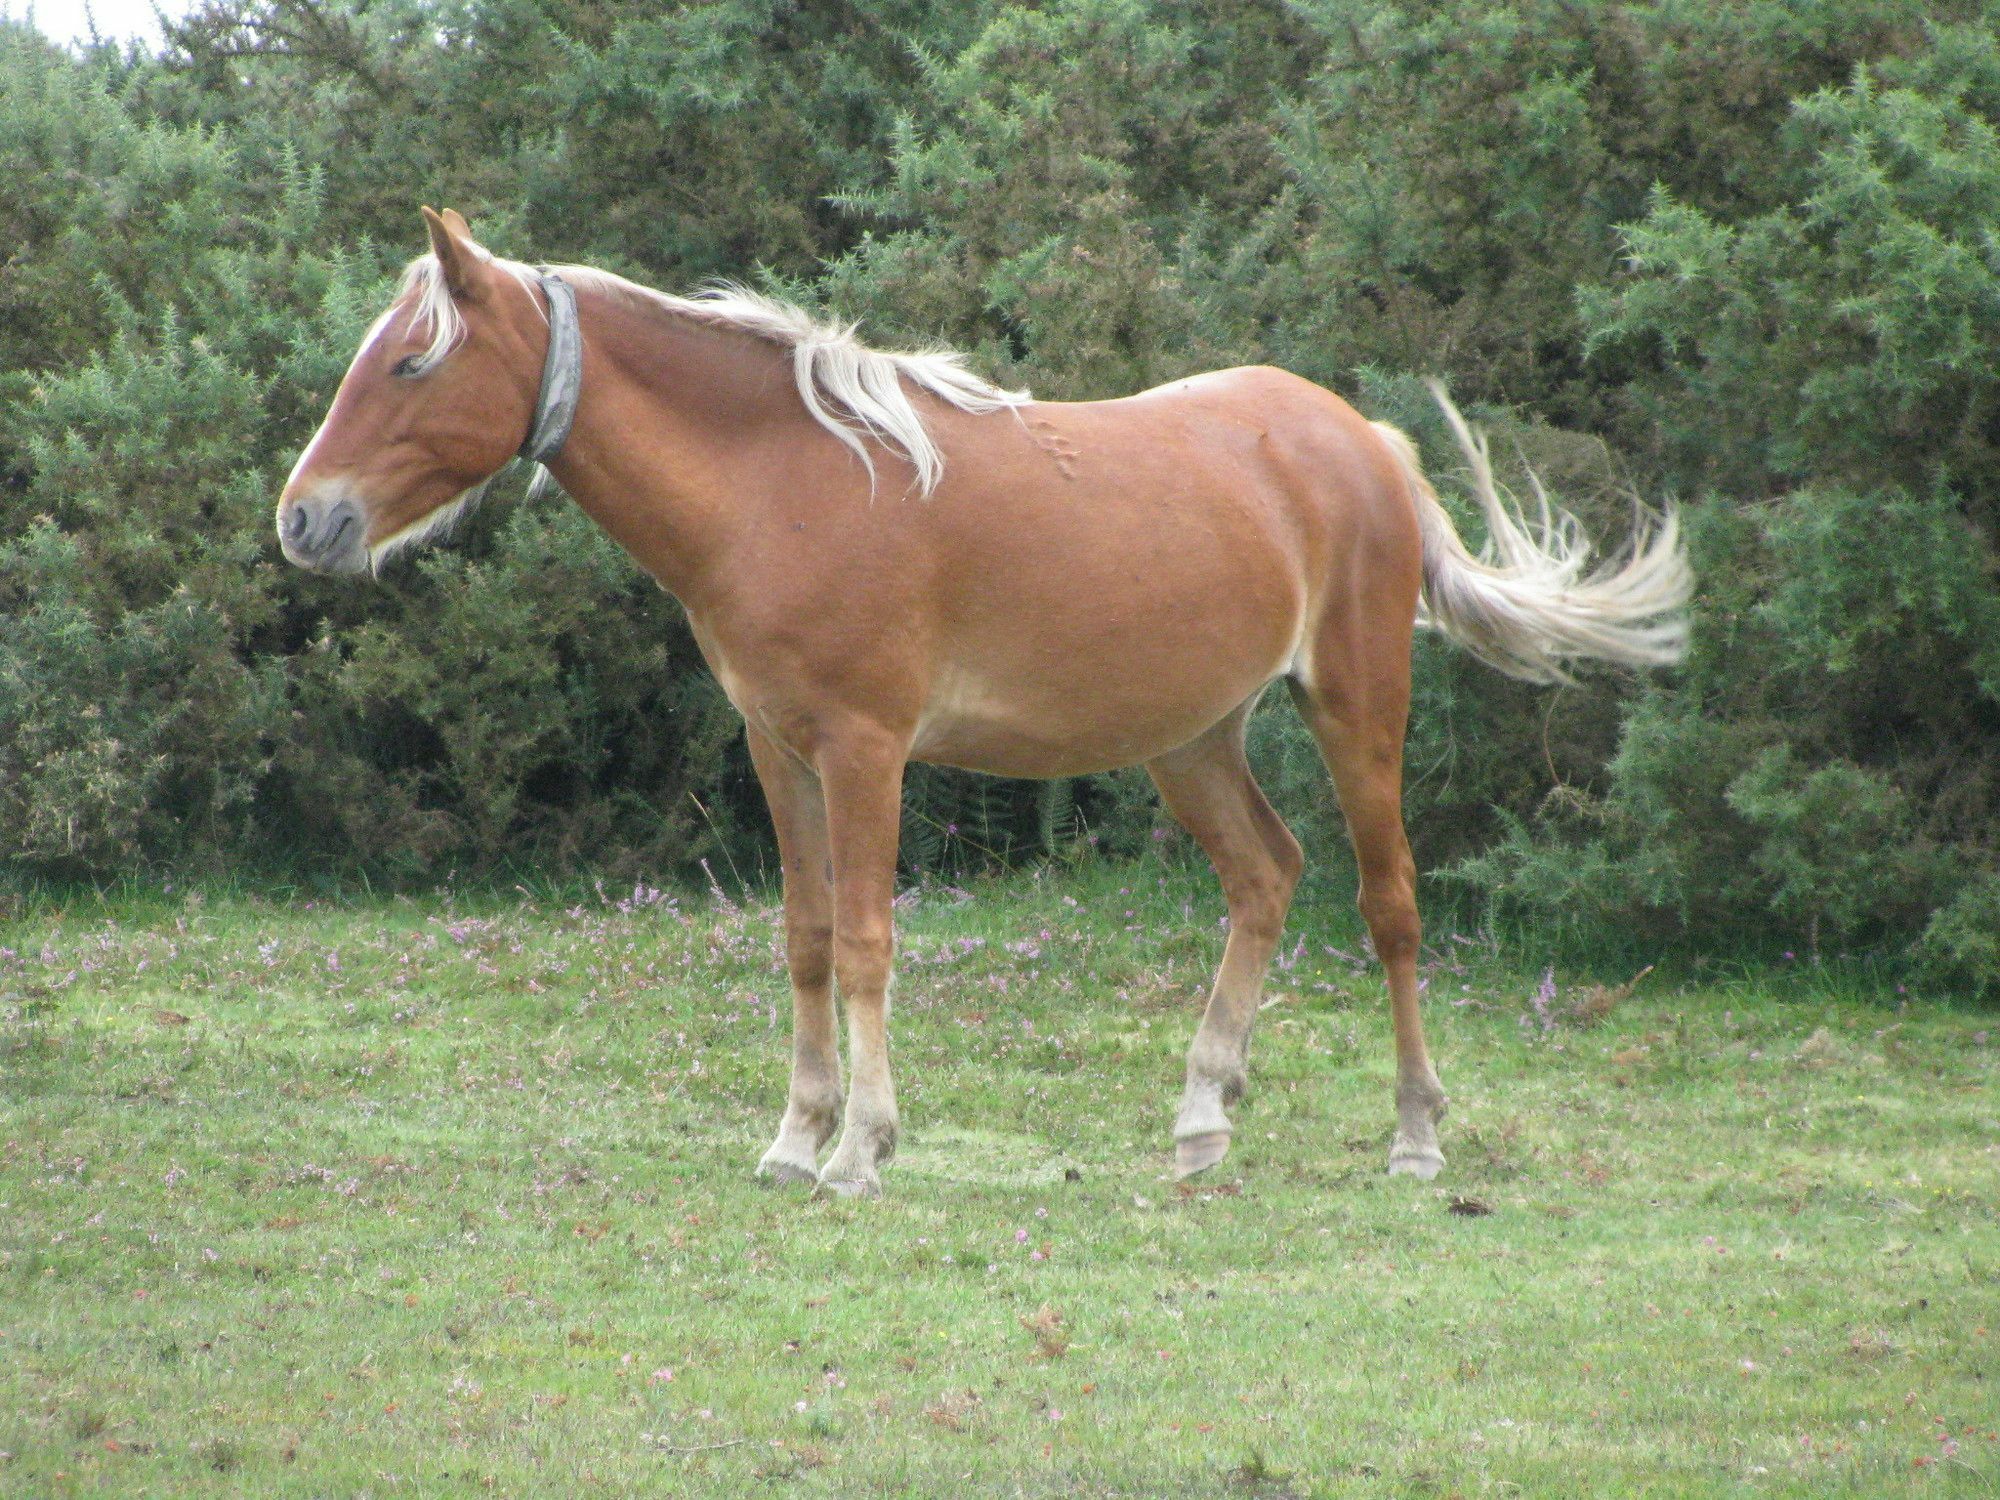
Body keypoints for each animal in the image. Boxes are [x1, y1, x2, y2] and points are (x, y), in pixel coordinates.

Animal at [278, 209, 1688, 1200]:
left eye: (412, 362)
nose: (304, 519)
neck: (785, 482)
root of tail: (1359, 441)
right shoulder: (777, 751)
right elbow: (802, 940)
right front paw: (792, 1140)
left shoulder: (865, 751)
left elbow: (862, 942)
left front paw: (861, 1150)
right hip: (1190, 738)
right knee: (1265, 877)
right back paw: (1200, 1116)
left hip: (1354, 703)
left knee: (1387, 908)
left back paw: (1411, 1137)